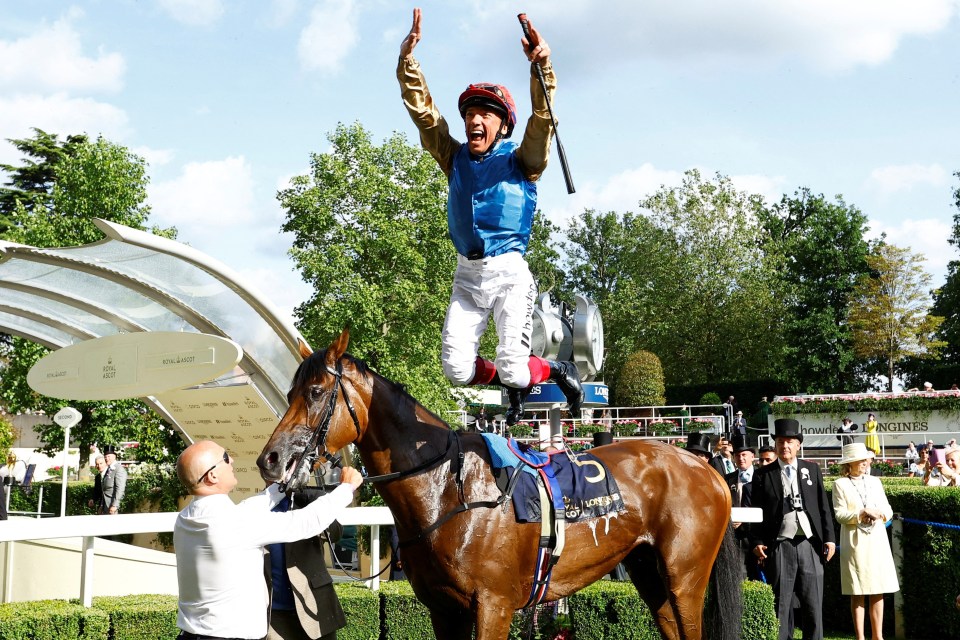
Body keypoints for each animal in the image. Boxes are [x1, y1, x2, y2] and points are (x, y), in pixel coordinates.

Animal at [256, 330, 744, 640]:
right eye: (289, 393)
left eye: (316, 391)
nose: (270, 459)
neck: (447, 491)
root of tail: (705, 466)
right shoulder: (444, 610)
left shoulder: (493, 606)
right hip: (647, 570)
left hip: (685, 576)